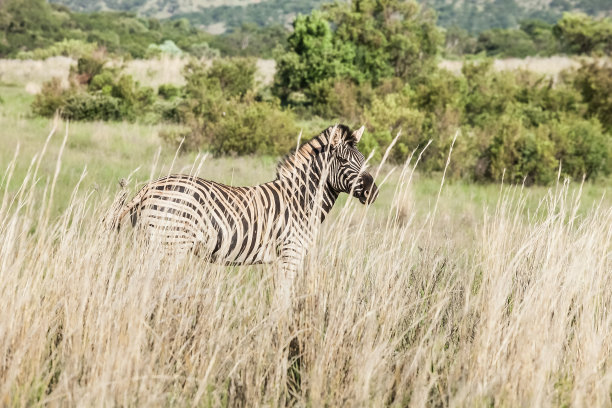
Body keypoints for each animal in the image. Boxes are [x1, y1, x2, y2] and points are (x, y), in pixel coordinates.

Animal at [115, 124, 378, 294]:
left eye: (364, 159)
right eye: (343, 161)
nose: (372, 192)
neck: (301, 200)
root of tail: (148, 187)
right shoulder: (291, 253)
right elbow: (283, 300)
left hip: (150, 243)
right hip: (170, 245)